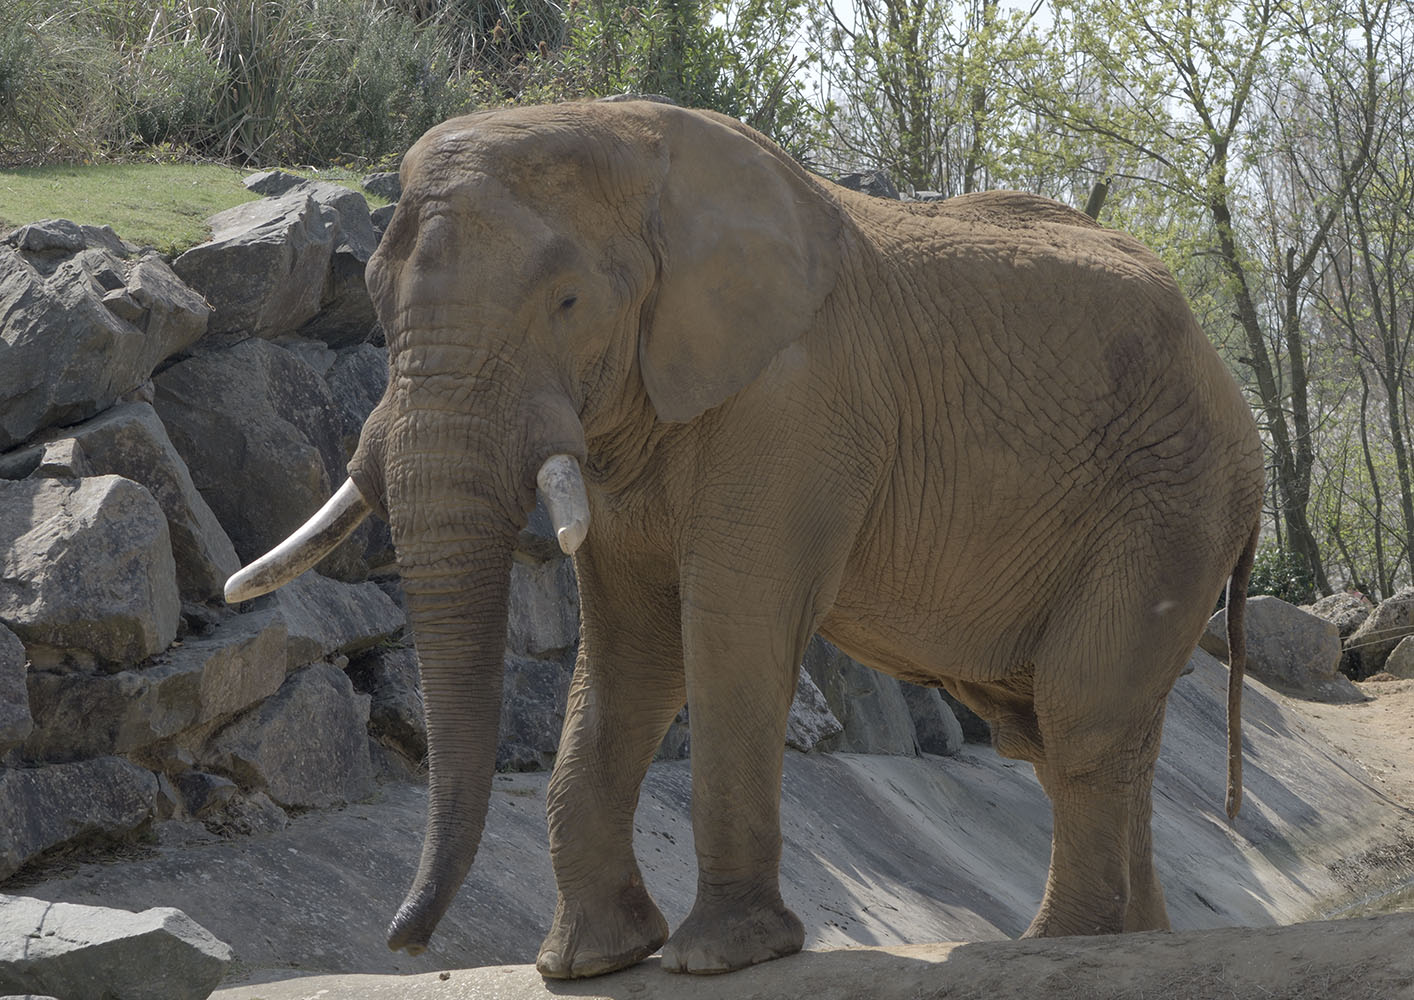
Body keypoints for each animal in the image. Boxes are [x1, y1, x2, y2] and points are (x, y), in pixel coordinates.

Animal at [226, 99, 1265, 979]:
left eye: (567, 302)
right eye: (370, 293)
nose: (403, 944)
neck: (637, 148)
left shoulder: (797, 404)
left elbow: (730, 628)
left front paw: (719, 957)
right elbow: (630, 654)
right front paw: (589, 962)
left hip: (1173, 497)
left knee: (1081, 715)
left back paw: (1058, 947)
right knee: (1062, 732)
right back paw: (1140, 940)